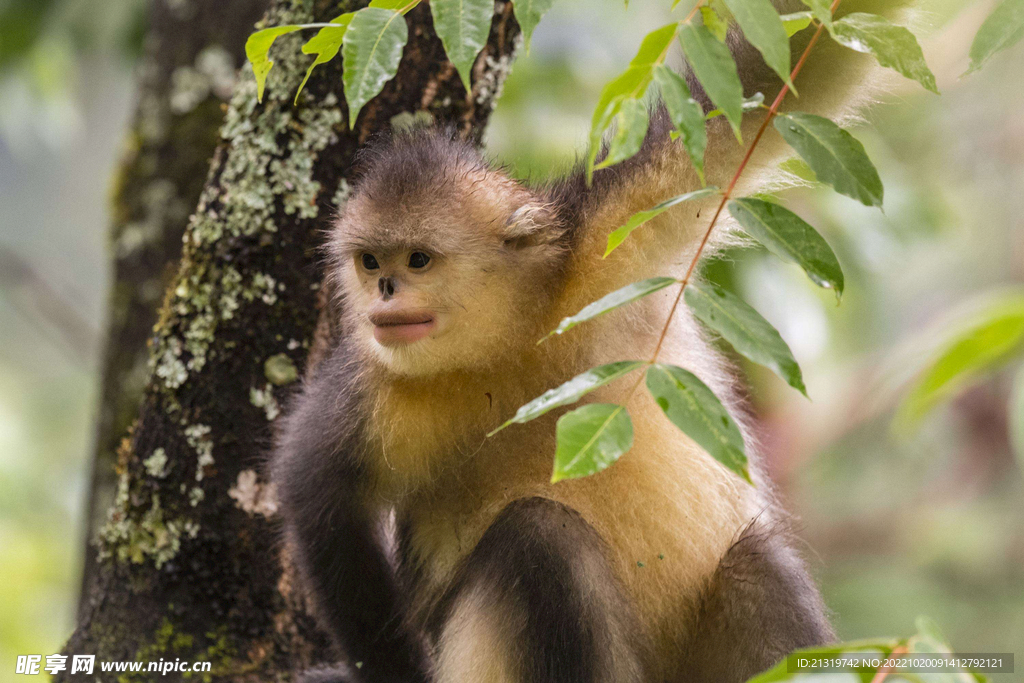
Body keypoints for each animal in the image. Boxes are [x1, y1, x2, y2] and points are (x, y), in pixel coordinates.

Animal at [270, 2, 913, 679]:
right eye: (370, 262)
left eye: (417, 259)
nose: (385, 291)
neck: (513, 340)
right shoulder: (375, 385)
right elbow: (318, 497)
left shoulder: (610, 233)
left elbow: (794, 76)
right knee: (541, 539)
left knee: (758, 566)